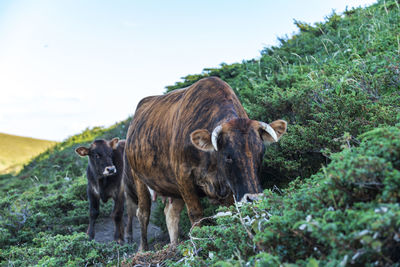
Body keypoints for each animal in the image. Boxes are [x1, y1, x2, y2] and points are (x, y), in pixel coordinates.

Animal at [123, 77, 286, 251]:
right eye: (228, 156)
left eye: (261, 153)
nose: (253, 198)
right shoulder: (184, 176)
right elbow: (195, 213)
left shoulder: (226, 186)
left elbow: (227, 212)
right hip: (138, 178)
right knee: (143, 213)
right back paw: (143, 249)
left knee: (171, 213)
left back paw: (174, 245)